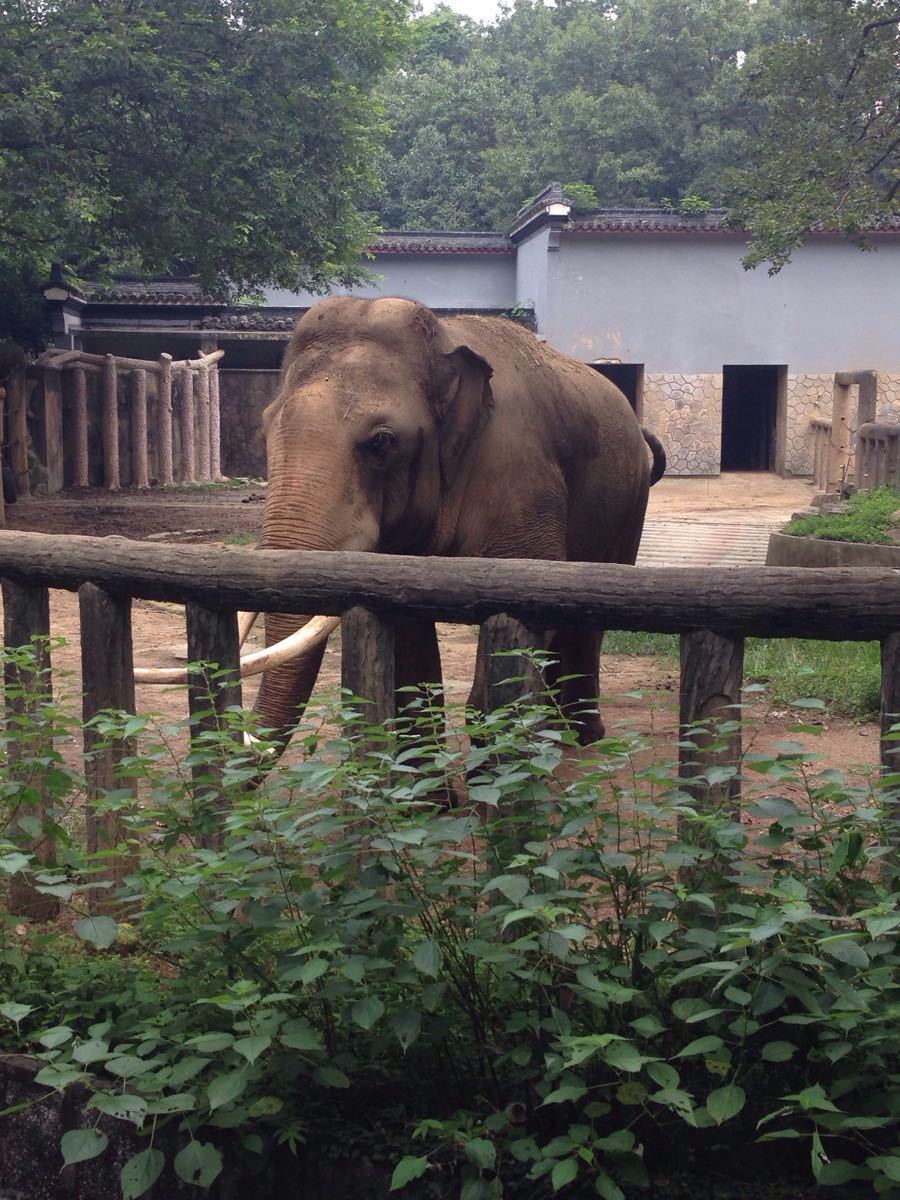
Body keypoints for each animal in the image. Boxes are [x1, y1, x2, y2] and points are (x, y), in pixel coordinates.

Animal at [244, 295, 662, 744]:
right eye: (263, 432)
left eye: (381, 442)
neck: (442, 341)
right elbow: (408, 633)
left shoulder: (520, 472)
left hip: (631, 502)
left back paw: (581, 737)